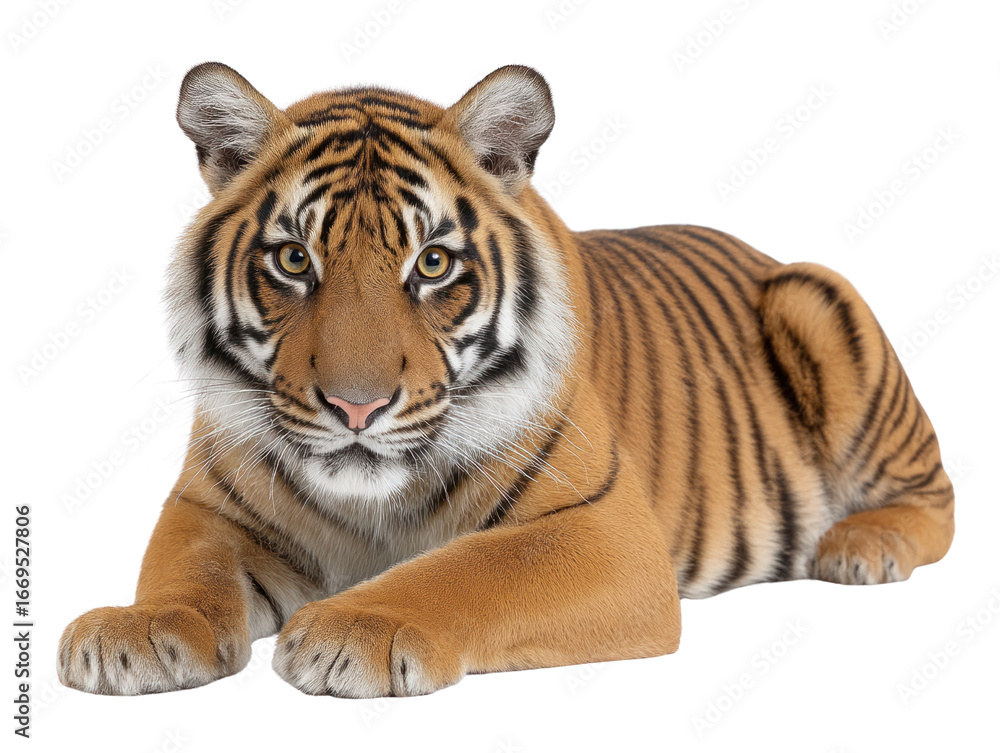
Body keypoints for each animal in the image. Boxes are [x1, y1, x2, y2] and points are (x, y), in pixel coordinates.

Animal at [57, 63, 955, 697]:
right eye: (293, 259)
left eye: (432, 264)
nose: (356, 406)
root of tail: (755, 247)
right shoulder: (209, 504)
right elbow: (186, 569)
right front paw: (136, 630)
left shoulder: (605, 531)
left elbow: (469, 568)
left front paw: (354, 627)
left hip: (816, 295)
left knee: (938, 502)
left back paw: (859, 547)